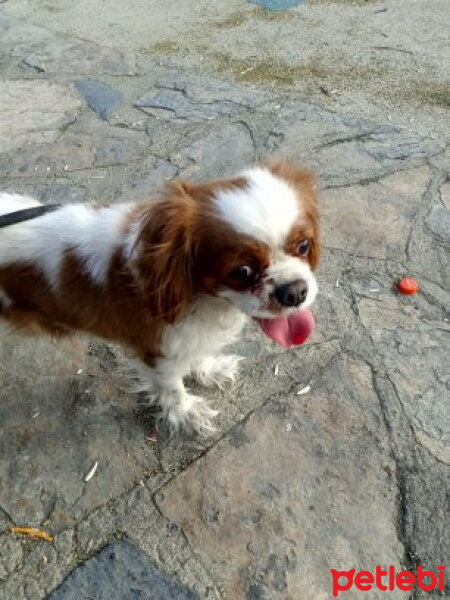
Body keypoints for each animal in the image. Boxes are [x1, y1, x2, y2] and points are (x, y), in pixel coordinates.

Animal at [0, 161, 320, 432]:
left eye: (304, 245)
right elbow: (171, 387)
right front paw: (187, 413)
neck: (205, 300)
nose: (295, 291)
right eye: (242, 271)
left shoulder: (186, 336)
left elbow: (195, 355)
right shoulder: (155, 348)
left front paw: (207, 370)